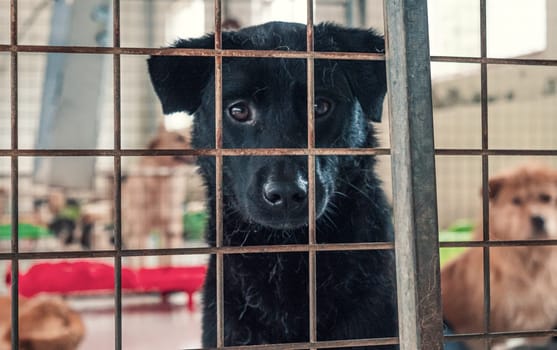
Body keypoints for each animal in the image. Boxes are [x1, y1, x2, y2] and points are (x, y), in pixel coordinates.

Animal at [120, 126, 194, 266]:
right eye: (179, 138)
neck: (164, 182)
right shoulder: (141, 229)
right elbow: (142, 261)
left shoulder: (171, 229)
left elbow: (168, 262)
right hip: (130, 230)